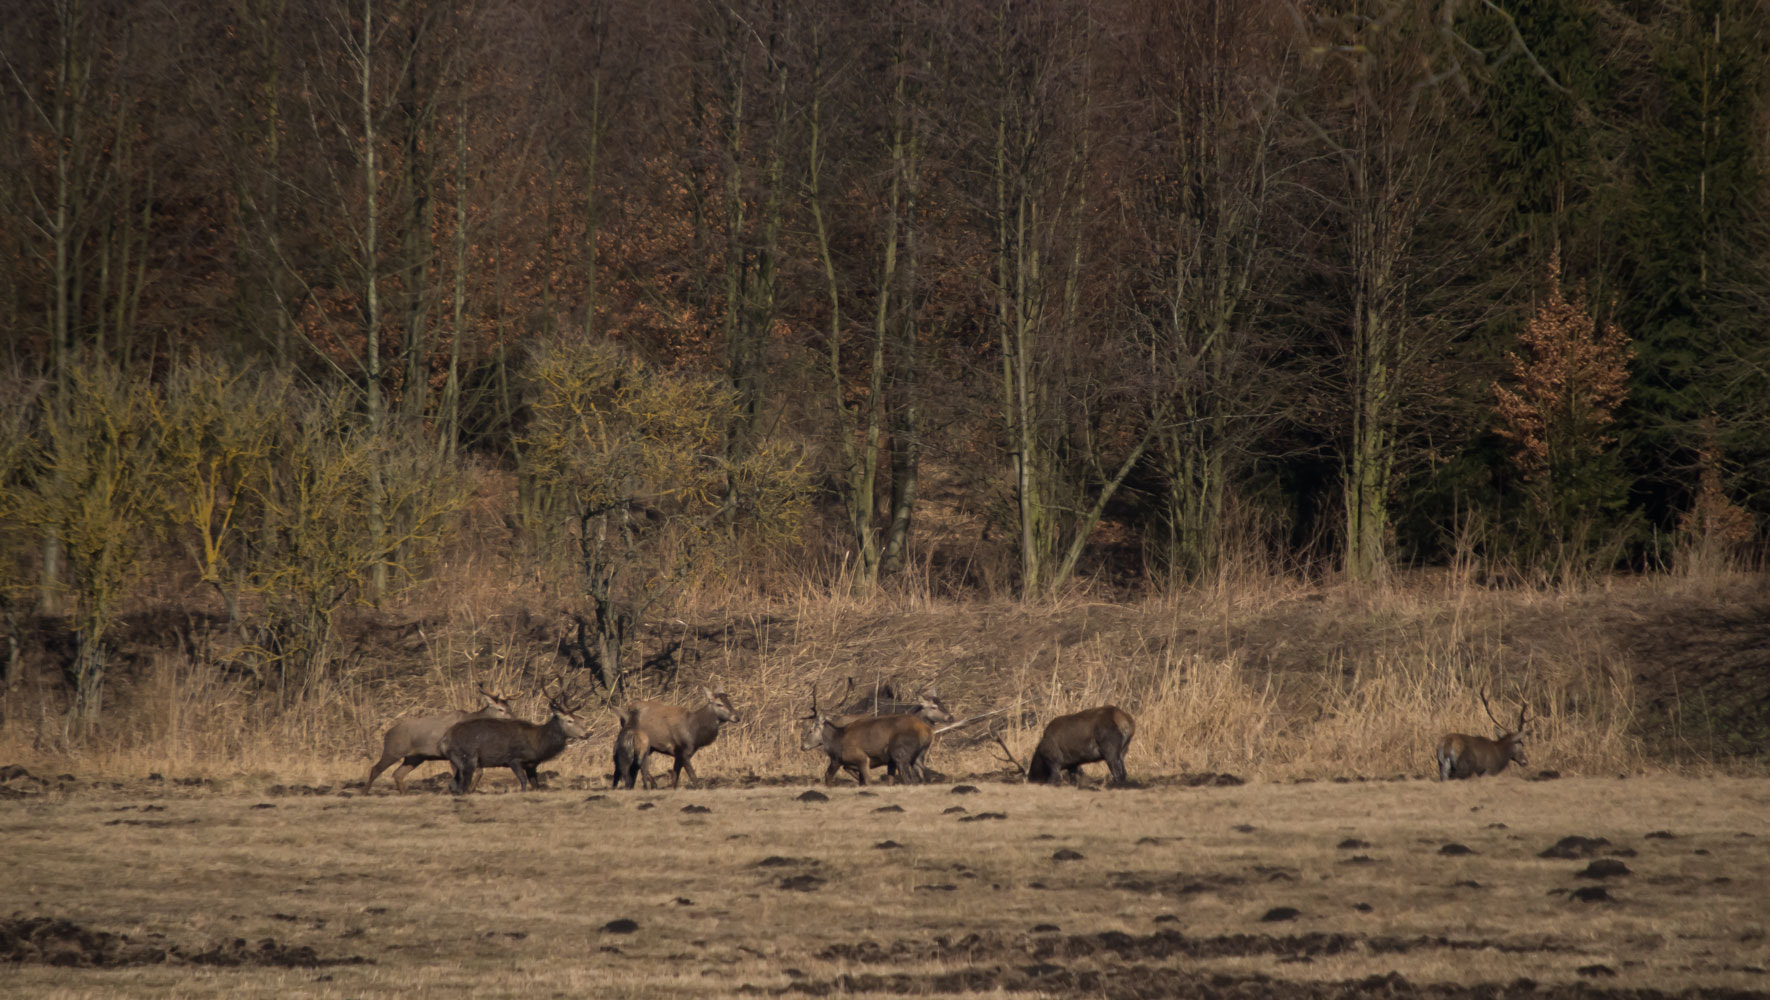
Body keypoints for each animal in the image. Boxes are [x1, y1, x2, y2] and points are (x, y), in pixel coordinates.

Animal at [364, 683, 513, 792]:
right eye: (500, 709)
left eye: (510, 708)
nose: (513, 719)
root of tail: (387, 734)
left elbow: (480, 772)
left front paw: (470, 790)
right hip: (393, 750)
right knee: (376, 769)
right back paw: (365, 792)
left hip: (415, 757)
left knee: (398, 774)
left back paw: (404, 794)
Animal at [440, 683, 587, 792]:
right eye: (569, 720)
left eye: (578, 718)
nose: (586, 733)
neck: (538, 743)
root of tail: (445, 739)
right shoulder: (513, 759)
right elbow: (523, 782)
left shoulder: (531, 765)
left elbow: (536, 786)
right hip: (467, 757)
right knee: (462, 785)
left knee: (453, 785)